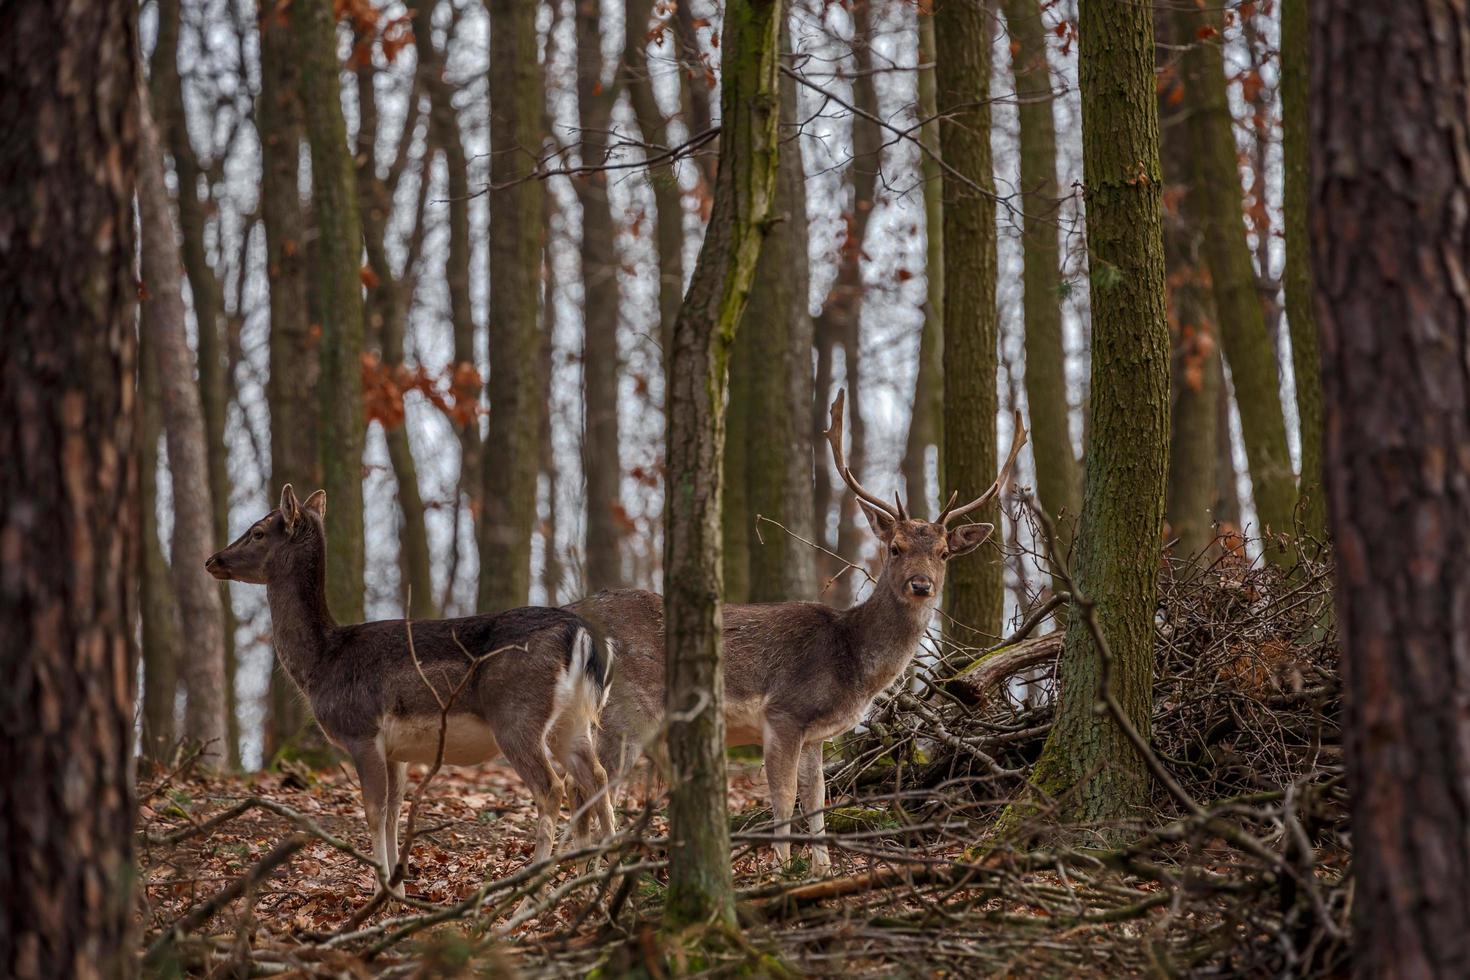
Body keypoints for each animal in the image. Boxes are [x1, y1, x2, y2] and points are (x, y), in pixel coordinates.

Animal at [205, 487, 614, 893]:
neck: (322, 662)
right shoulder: (395, 751)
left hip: (518, 716)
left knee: (553, 788)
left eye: (258, 531)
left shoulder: (361, 731)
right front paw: (395, 890)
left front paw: (382, 892)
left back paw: (532, 889)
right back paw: (604, 877)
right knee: (595, 776)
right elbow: (393, 812)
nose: (212, 559)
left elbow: (373, 811)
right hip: (573, 720)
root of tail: (582, 634)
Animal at [567, 393, 1029, 875]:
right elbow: (784, 797)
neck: (851, 664)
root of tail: (570, 614)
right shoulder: (784, 712)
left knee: (574, 785)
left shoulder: (816, 733)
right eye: (895, 547)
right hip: (624, 710)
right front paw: (781, 868)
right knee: (595, 784)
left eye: (942, 553)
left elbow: (816, 797)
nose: (921, 585)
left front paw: (822, 869)